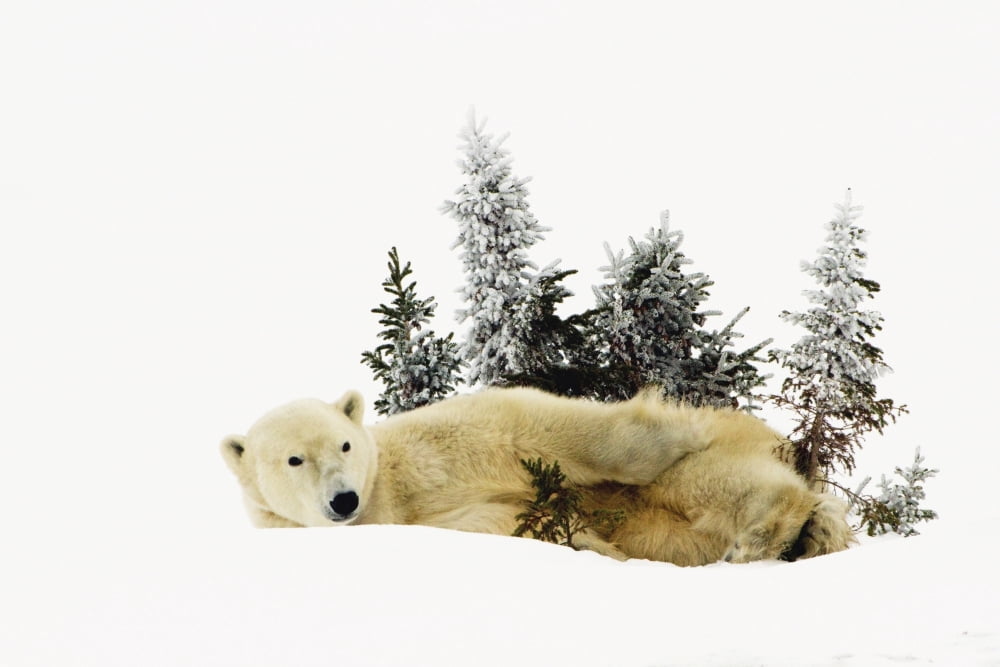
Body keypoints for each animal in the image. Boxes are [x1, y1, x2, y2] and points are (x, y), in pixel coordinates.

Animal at [220, 387, 854, 565]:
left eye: (345, 443)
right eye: (294, 460)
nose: (345, 500)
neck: (389, 494)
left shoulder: (438, 443)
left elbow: (526, 424)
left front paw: (678, 431)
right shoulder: (439, 522)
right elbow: (510, 523)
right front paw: (586, 544)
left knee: (699, 481)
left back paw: (766, 535)